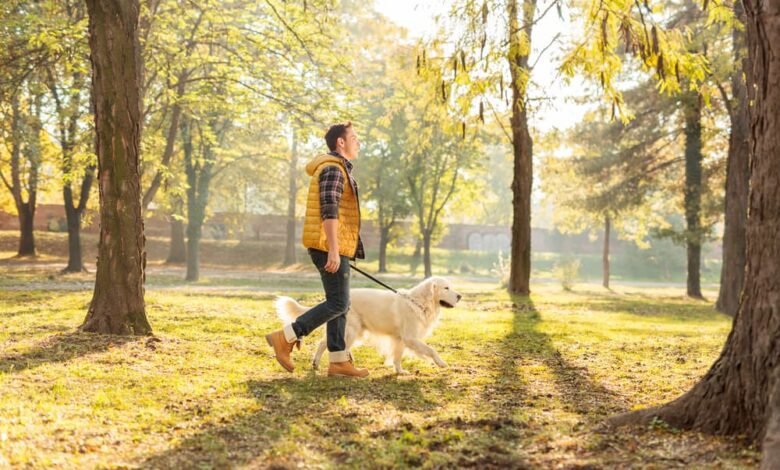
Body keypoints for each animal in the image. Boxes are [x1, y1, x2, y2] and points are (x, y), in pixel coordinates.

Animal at [274, 278, 460, 372]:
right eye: (446, 288)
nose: (460, 296)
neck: (419, 302)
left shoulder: (400, 339)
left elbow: (397, 357)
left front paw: (399, 371)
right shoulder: (410, 337)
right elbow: (431, 350)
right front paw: (441, 363)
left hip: (355, 332)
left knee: (331, 344)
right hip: (351, 330)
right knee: (326, 344)